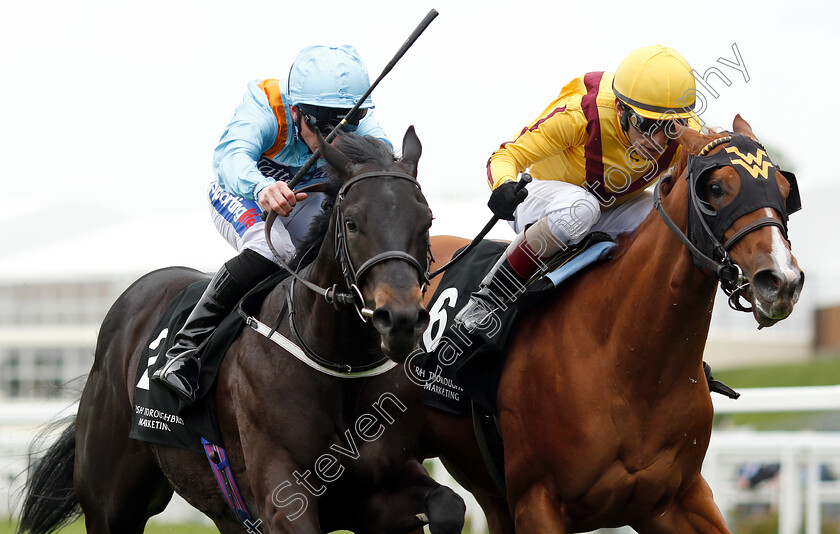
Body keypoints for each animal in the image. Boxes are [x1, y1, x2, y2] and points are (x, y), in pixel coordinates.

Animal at [18, 129, 466, 534]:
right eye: (353, 223)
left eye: (427, 220)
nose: (400, 319)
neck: (338, 363)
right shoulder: (284, 497)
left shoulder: (377, 490)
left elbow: (449, 505)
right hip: (111, 503)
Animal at [416, 118, 804, 534]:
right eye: (716, 188)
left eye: (784, 190)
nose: (781, 280)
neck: (628, 363)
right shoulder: (536, 501)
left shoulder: (674, 499)